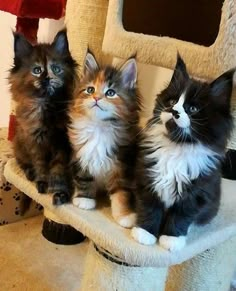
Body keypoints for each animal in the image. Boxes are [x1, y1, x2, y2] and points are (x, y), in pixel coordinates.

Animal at [9, 30, 77, 205]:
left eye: (56, 69)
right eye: (37, 70)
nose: (47, 78)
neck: (46, 104)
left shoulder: (62, 144)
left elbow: (59, 169)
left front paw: (60, 192)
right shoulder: (35, 142)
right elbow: (40, 165)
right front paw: (42, 183)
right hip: (19, 145)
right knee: (22, 162)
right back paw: (30, 174)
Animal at [69, 53, 141, 228]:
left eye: (110, 92)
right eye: (90, 89)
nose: (96, 98)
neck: (100, 127)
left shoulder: (123, 166)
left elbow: (122, 193)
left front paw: (125, 216)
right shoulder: (80, 156)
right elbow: (83, 178)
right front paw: (84, 200)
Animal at [131, 56, 234, 252]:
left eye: (192, 109)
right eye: (172, 102)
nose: (173, 111)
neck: (176, 148)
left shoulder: (197, 192)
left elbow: (181, 216)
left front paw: (171, 239)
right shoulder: (148, 178)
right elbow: (150, 208)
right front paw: (145, 233)